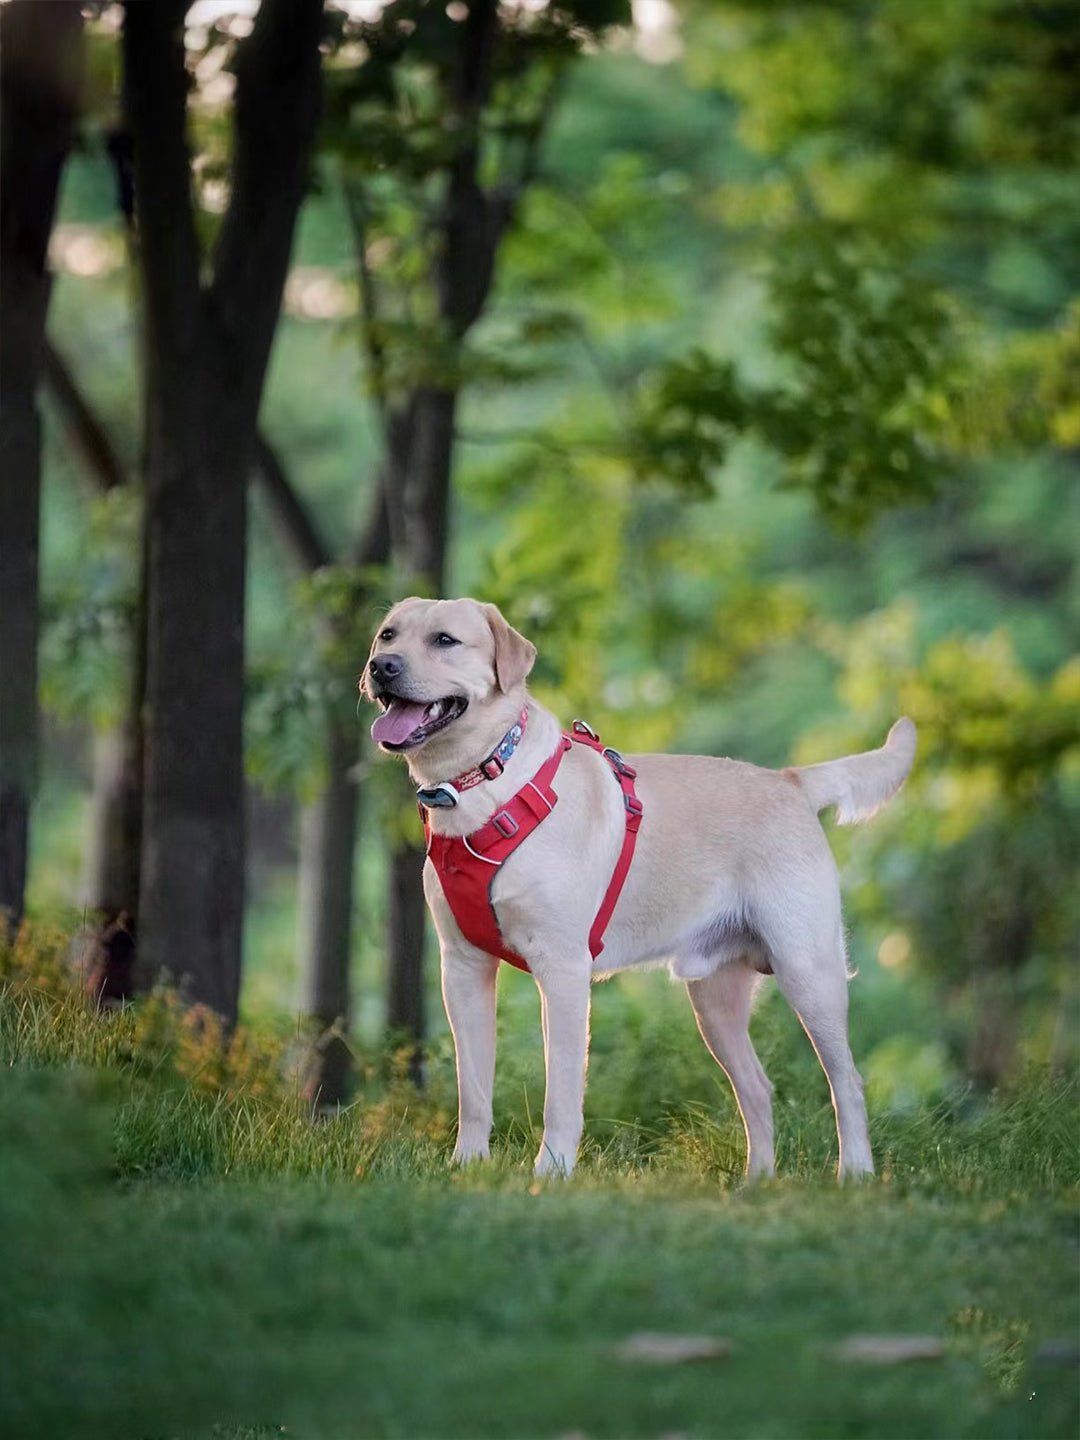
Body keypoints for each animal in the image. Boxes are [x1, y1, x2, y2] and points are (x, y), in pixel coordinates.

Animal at [361, 596, 915, 1180]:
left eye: (444, 640)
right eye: (388, 635)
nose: (381, 667)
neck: (484, 784)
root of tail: (790, 781)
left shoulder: (562, 969)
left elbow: (561, 1093)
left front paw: (551, 1173)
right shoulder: (462, 967)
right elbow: (473, 1089)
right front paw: (468, 1166)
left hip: (809, 971)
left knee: (847, 1082)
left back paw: (854, 1174)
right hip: (714, 1001)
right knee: (758, 1090)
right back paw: (756, 1183)